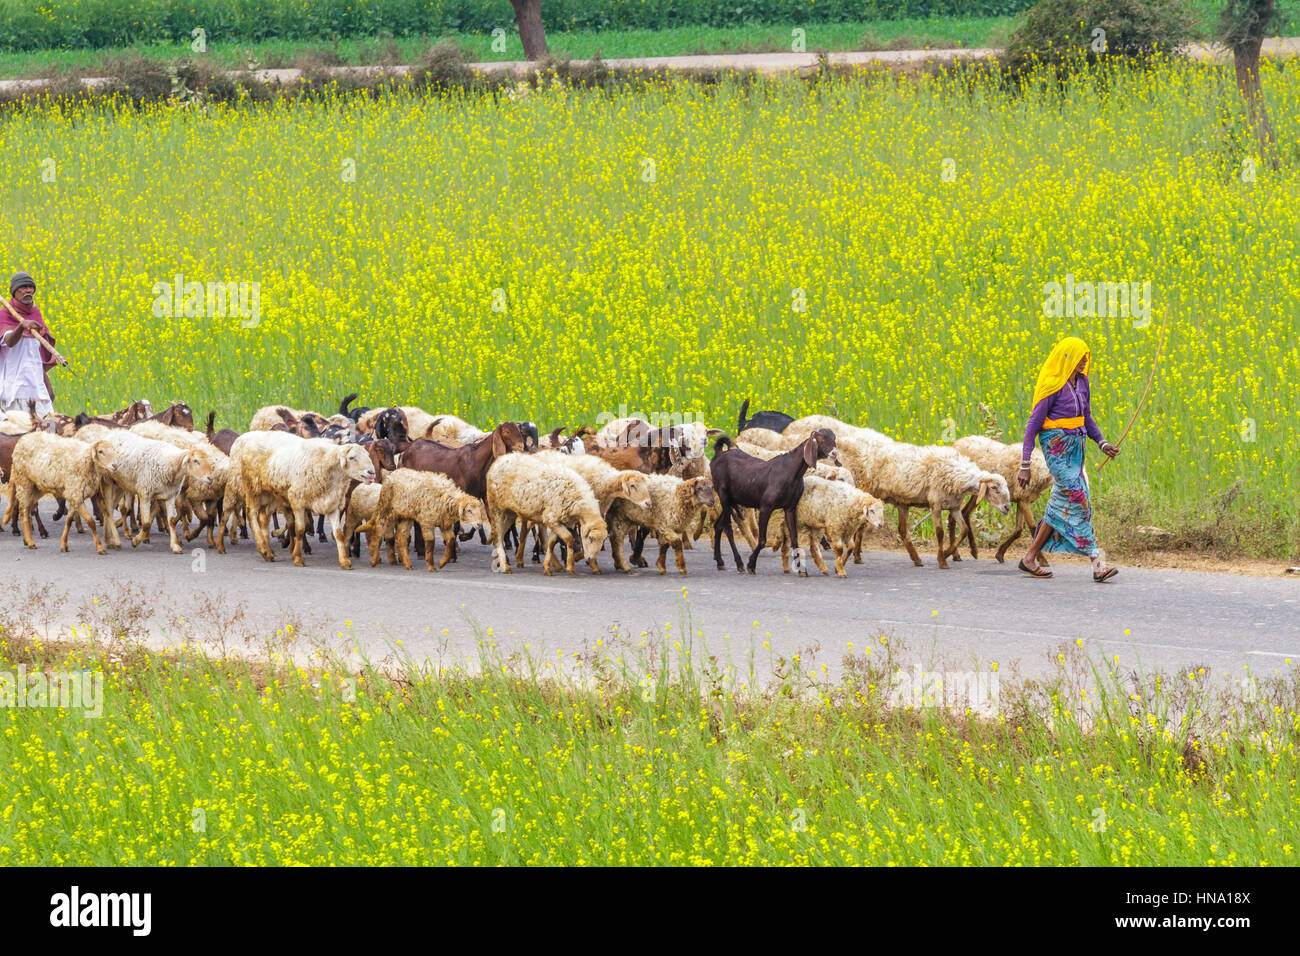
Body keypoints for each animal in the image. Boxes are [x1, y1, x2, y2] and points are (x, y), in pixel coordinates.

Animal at [837, 439, 1008, 567]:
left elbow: (965, 529)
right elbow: (940, 533)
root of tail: (867, 458)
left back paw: (916, 559)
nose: (1007, 508)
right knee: (863, 525)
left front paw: (947, 553)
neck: (958, 476)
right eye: (994, 488)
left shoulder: (953, 507)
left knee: (902, 530)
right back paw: (857, 556)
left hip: (902, 503)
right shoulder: (935, 504)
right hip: (871, 493)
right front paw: (942, 560)